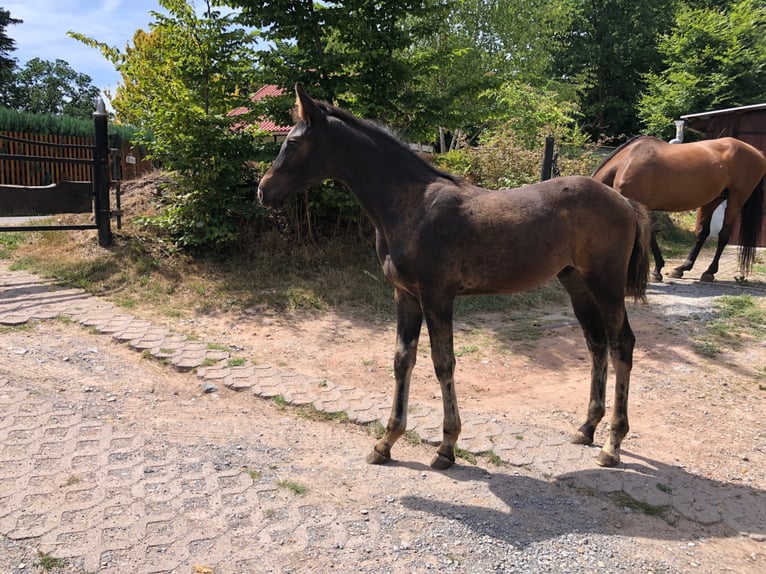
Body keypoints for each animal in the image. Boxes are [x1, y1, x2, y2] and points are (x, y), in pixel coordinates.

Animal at [260, 86, 652, 472]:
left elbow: (442, 362)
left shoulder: (437, 295)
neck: (411, 205)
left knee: (622, 345)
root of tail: (624, 201)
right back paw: (587, 428)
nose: (263, 190)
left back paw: (612, 446)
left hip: (606, 285)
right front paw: (386, 442)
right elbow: (402, 360)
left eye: (293, 142)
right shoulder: (405, 295)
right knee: (597, 344)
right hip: (576, 284)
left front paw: (446, 447)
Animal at [592, 136, 766, 284]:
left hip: (736, 200)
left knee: (724, 235)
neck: (625, 162)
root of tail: (758, 153)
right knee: (702, 233)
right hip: (713, 199)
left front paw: (654, 271)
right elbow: (650, 235)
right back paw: (682, 268)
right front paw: (657, 270)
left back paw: (709, 272)